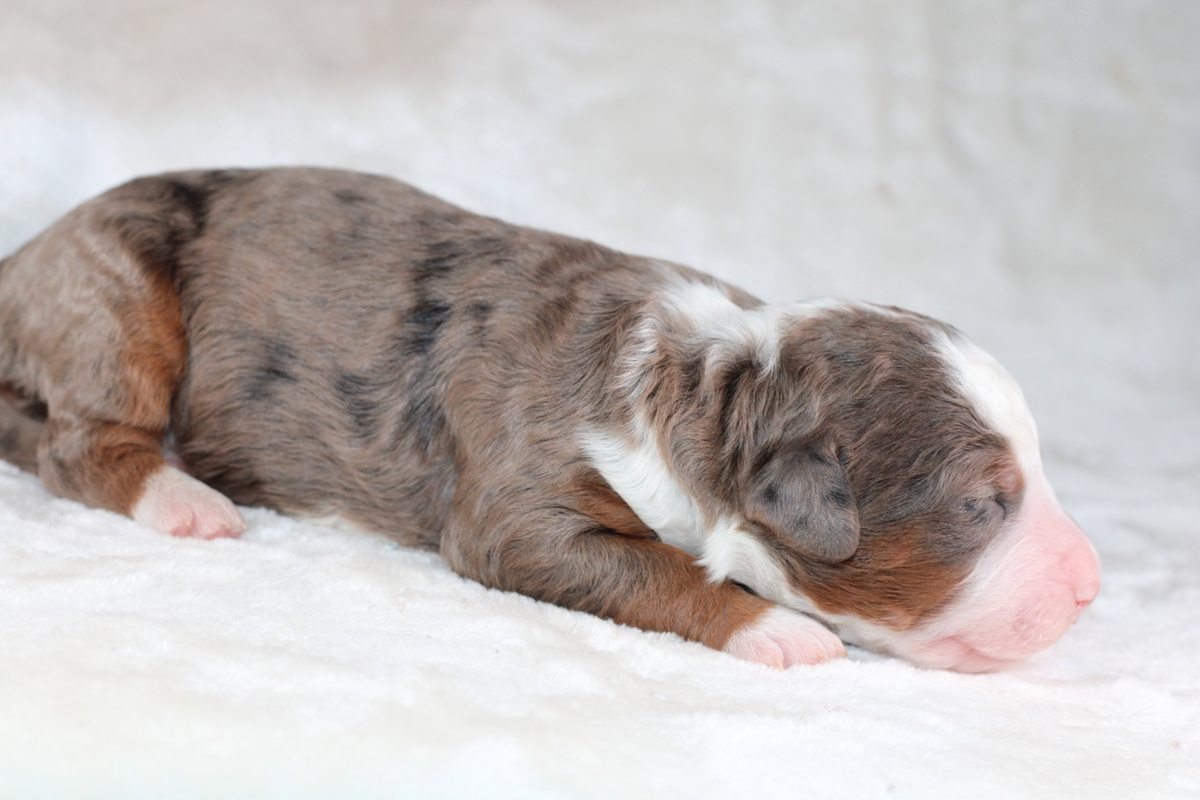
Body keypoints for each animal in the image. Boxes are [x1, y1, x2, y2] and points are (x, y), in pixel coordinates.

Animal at [0, 167, 1100, 672]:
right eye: (983, 503)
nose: (1092, 583)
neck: (713, 380)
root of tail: (25, 255)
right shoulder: (521, 503)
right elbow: (657, 569)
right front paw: (783, 631)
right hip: (121, 290)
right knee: (78, 442)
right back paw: (185, 501)